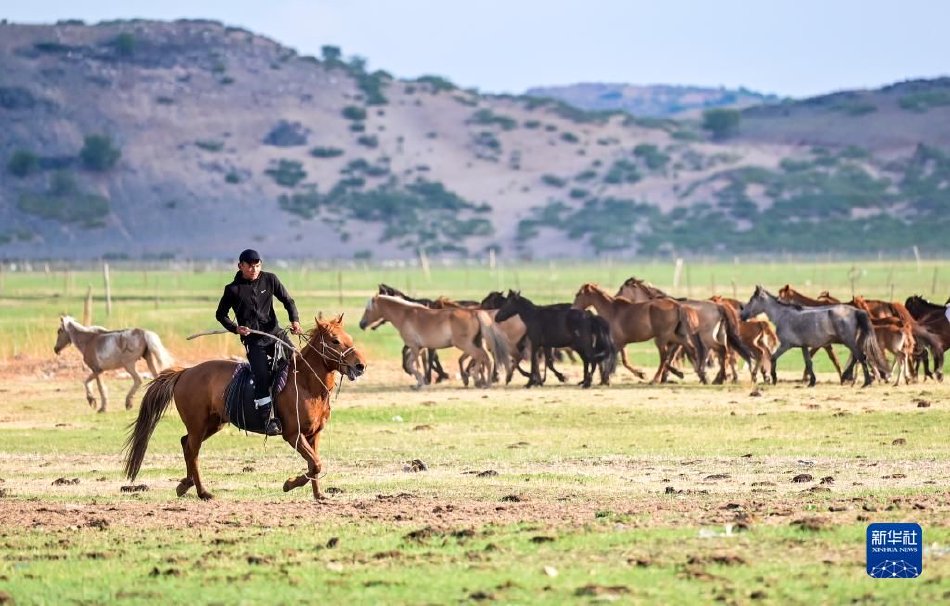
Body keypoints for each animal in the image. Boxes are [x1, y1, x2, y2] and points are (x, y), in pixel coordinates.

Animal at [123, 316, 368, 502]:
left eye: (349, 338)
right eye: (335, 341)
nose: (360, 366)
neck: (305, 383)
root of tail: (186, 372)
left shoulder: (313, 434)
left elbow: (314, 464)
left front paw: (318, 495)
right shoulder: (294, 435)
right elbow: (315, 464)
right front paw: (289, 484)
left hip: (213, 424)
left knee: (186, 445)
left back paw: (185, 484)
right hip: (197, 425)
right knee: (192, 451)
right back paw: (203, 492)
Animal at [740, 286, 888, 390]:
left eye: (751, 300)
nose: (742, 315)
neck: (784, 315)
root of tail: (856, 311)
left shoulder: (786, 345)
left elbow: (772, 358)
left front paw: (773, 379)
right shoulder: (804, 346)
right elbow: (808, 362)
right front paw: (812, 382)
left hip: (850, 342)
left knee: (861, 357)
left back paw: (866, 382)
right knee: (860, 357)